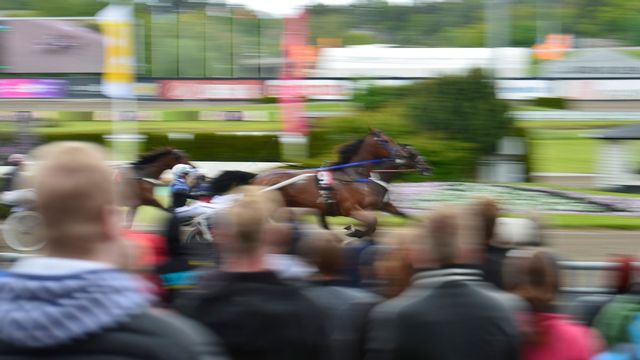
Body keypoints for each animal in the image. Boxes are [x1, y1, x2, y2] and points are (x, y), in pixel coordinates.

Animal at [252, 128, 432, 238]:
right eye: (384, 140)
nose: (428, 167)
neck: (358, 176)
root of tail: (257, 178)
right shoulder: (351, 209)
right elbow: (372, 223)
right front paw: (353, 231)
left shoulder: (383, 205)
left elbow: (404, 216)